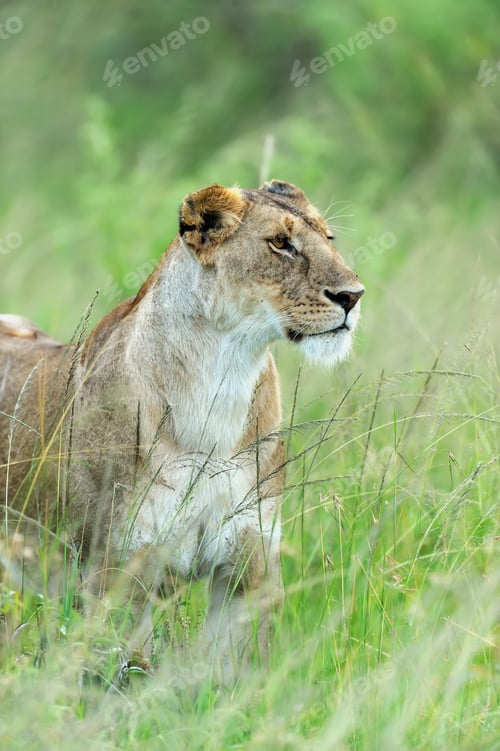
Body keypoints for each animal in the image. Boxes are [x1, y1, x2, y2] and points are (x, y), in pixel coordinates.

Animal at [0, 180, 364, 678]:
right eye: (279, 243)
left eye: (329, 238)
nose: (353, 295)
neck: (222, 378)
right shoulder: (116, 572)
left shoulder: (248, 567)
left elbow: (233, 672)